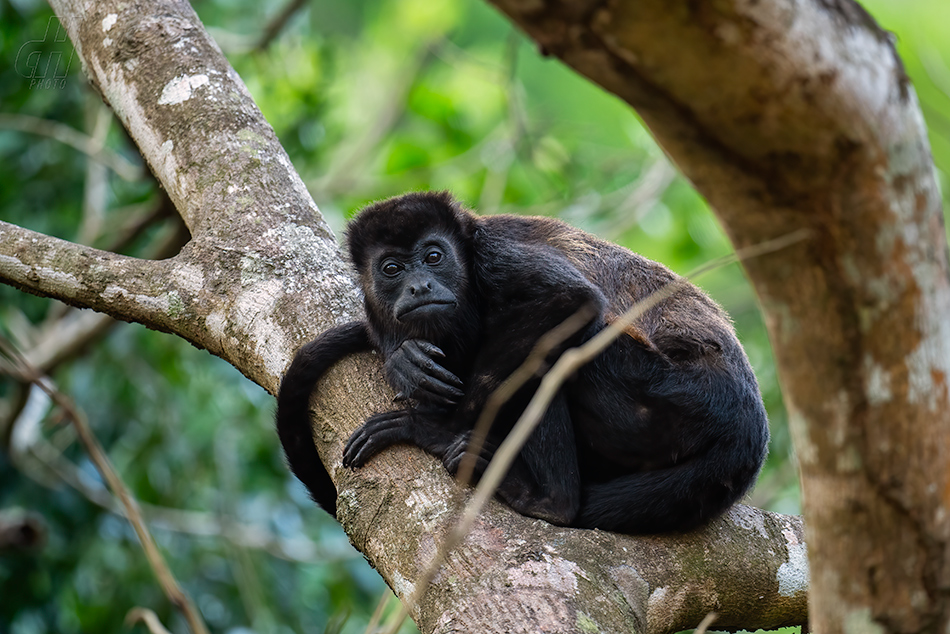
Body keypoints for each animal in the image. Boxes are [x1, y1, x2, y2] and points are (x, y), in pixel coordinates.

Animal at [278, 193, 772, 532]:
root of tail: (749, 433)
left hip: (666, 401)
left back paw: (545, 499)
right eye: (392, 269)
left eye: (434, 256)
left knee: (553, 351)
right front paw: (404, 360)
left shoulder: (495, 253)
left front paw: (437, 425)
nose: (420, 286)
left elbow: (571, 301)